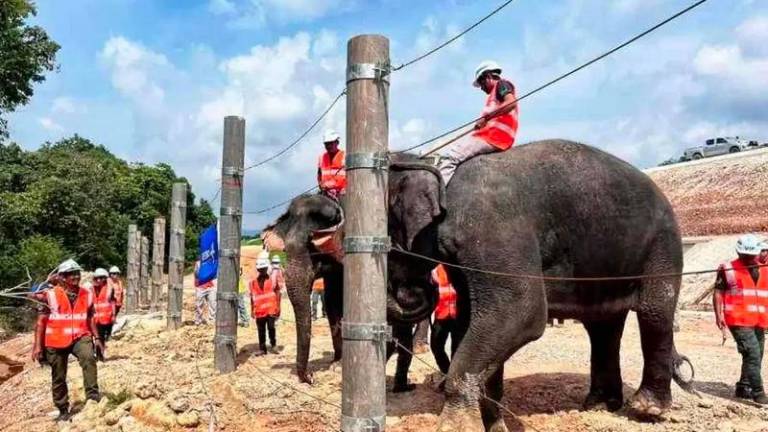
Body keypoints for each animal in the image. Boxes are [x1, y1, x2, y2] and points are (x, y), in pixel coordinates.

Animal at [388, 140, 692, 430]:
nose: (413, 290)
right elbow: (472, 320)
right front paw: (495, 422)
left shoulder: (492, 227)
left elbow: (521, 312)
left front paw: (457, 425)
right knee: (603, 326)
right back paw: (600, 405)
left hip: (663, 245)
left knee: (653, 312)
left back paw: (647, 409)